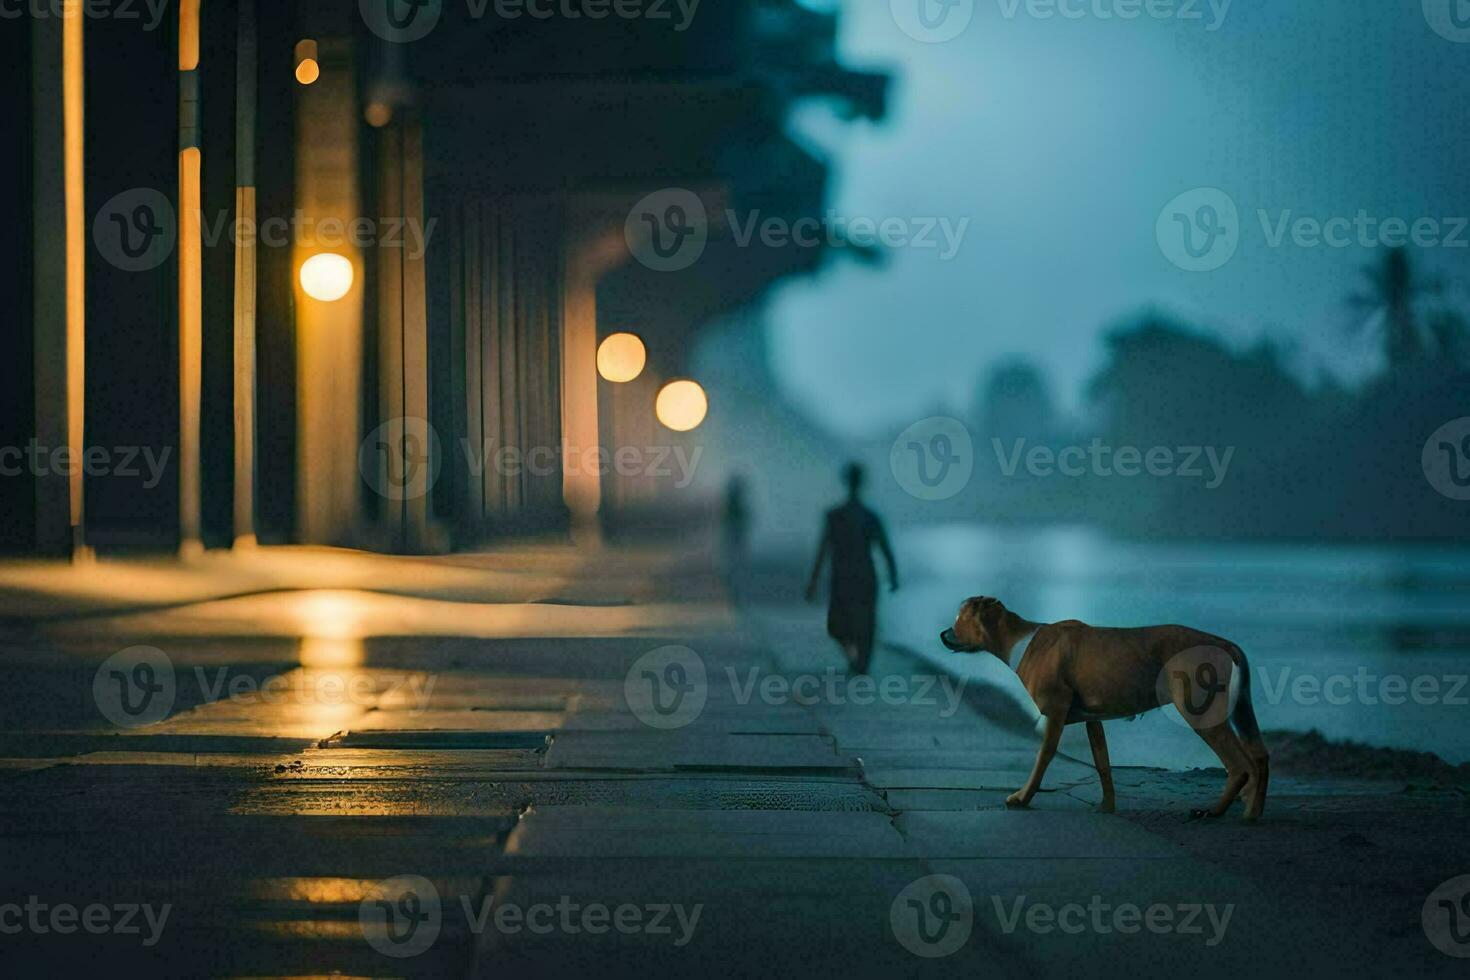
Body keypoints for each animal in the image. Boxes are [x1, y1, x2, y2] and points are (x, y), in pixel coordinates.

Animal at [946, 599, 1270, 822]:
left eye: (959, 618)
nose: (942, 634)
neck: (1022, 639)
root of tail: (1224, 643)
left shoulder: (1056, 713)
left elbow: (1044, 756)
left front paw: (1023, 797)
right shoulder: (1093, 720)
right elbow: (1102, 763)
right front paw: (1107, 806)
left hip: (1201, 714)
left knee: (1239, 765)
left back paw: (1216, 811)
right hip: (1237, 712)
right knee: (1259, 756)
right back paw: (1252, 810)